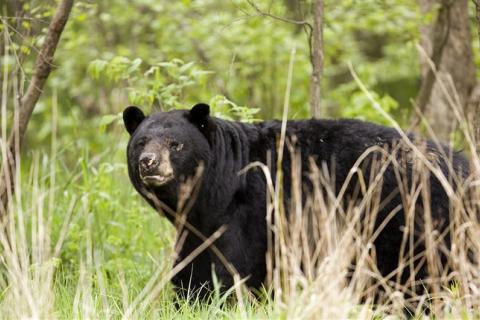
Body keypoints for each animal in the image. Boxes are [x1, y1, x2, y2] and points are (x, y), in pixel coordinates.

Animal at [123, 103, 468, 300]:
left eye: (176, 144)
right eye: (141, 141)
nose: (149, 162)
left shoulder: (250, 212)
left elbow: (234, 266)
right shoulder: (197, 225)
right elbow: (191, 264)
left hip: (405, 220)